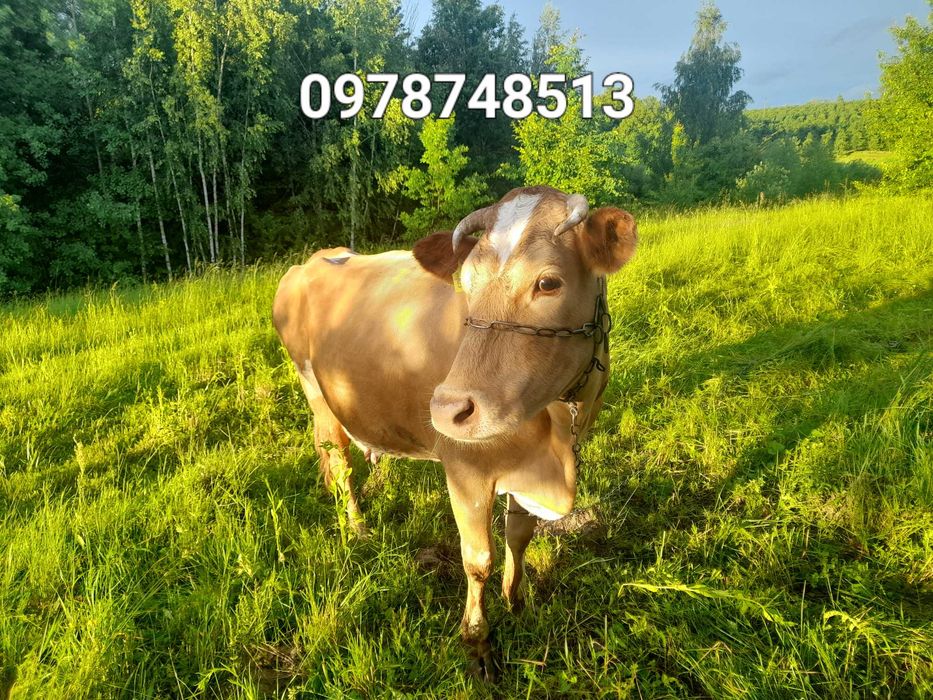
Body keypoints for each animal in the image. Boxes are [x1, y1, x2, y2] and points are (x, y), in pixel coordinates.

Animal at [272, 185, 637, 680]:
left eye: (548, 283)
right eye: (467, 283)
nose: (446, 409)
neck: (555, 439)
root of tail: (313, 259)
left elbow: (519, 538)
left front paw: (517, 602)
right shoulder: (464, 469)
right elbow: (478, 560)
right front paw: (478, 642)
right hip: (317, 394)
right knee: (340, 464)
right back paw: (359, 527)